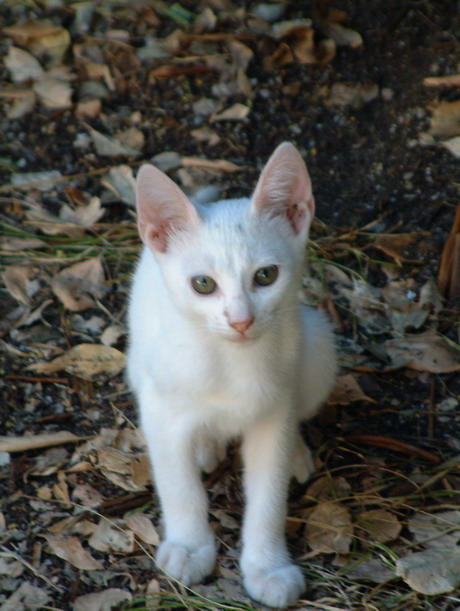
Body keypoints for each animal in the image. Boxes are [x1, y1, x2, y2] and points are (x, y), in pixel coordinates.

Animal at [127, 143, 336, 608]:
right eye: (203, 284)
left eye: (266, 275)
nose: (241, 321)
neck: (228, 361)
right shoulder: (159, 409)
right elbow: (178, 484)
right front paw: (189, 546)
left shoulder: (274, 411)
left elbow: (269, 495)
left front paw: (268, 567)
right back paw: (206, 445)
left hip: (317, 343)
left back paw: (296, 452)